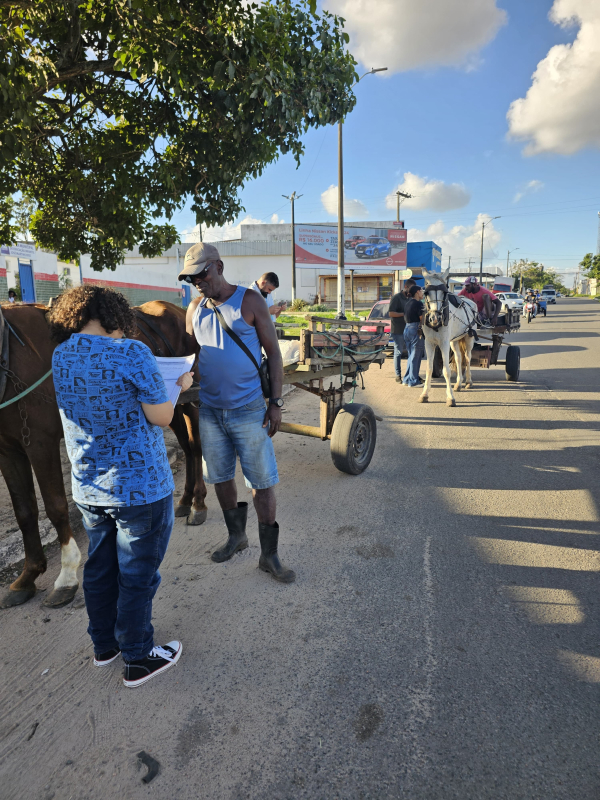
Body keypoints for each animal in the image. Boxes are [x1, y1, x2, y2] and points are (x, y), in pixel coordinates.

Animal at [420, 268, 476, 406]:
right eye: (426, 293)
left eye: (444, 293)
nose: (435, 318)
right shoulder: (429, 343)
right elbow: (429, 369)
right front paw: (424, 394)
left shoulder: (444, 343)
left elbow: (446, 370)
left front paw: (450, 397)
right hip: (454, 340)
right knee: (459, 358)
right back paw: (458, 383)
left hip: (469, 338)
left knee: (468, 358)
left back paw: (468, 381)